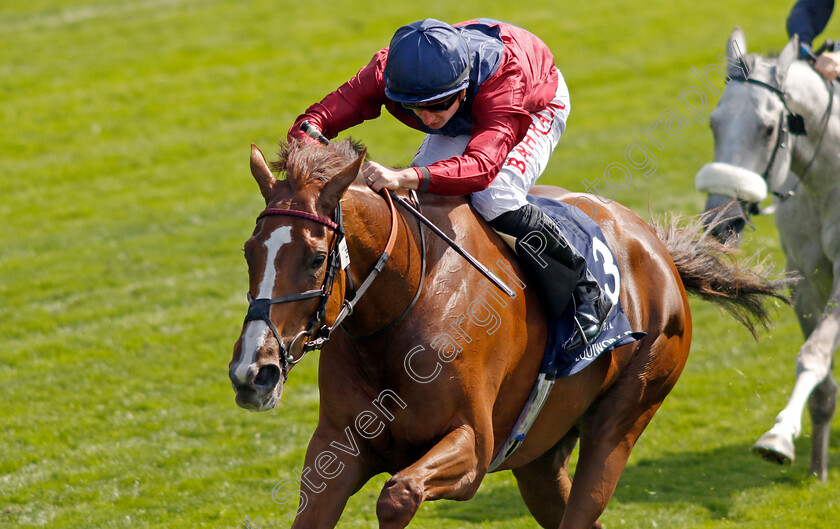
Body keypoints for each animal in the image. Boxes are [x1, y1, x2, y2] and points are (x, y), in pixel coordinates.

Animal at [696, 27, 840, 478]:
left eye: (767, 128)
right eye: (714, 124)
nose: (720, 220)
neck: (827, 184)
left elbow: (814, 355)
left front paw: (778, 435)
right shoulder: (805, 277)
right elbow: (822, 378)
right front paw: (816, 468)